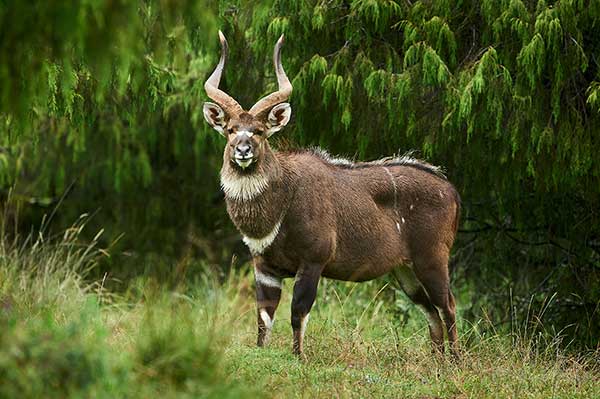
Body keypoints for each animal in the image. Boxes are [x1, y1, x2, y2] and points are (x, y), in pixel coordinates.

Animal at [204, 30, 462, 356]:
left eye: (260, 131)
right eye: (230, 129)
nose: (243, 150)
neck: (281, 201)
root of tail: (451, 191)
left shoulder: (314, 260)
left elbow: (298, 312)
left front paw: (298, 357)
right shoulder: (264, 266)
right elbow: (264, 318)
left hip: (431, 258)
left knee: (448, 305)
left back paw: (456, 361)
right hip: (405, 271)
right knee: (430, 311)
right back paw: (438, 361)